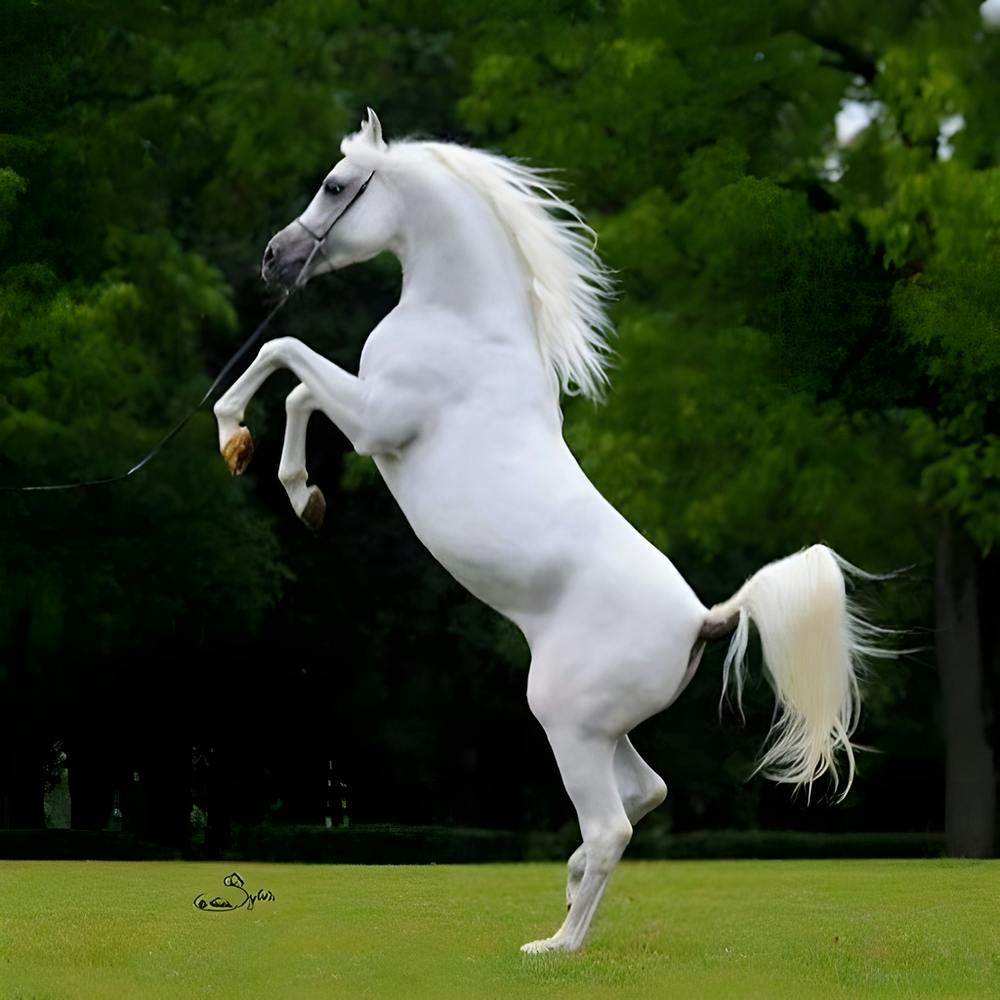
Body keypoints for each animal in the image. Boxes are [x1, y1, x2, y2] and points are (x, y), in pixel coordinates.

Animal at [213, 109, 882, 953]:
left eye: (335, 185)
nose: (275, 258)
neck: (464, 325)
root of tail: (708, 617)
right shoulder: (364, 415)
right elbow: (298, 386)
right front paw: (298, 493)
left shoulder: (375, 423)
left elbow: (286, 357)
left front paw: (246, 445)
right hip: (602, 731)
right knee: (644, 795)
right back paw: (565, 899)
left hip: (566, 721)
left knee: (611, 827)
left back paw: (555, 946)